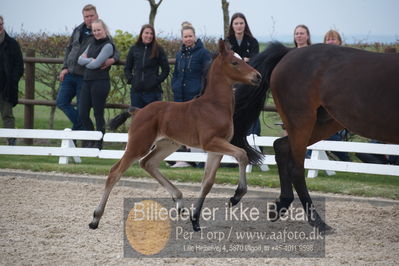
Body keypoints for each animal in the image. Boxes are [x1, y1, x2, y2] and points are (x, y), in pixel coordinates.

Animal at [88, 39, 260, 231]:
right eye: (235, 62)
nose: (258, 76)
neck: (214, 105)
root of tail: (138, 111)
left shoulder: (216, 149)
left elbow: (207, 182)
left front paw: (195, 220)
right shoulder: (211, 143)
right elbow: (242, 154)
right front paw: (235, 197)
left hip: (168, 144)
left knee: (148, 163)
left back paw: (179, 202)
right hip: (139, 144)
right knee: (115, 171)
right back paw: (95, 218)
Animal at [233, 42, 399, 231]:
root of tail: (290, 52)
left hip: (326, 121)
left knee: (281, 146)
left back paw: (281, 206)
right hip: (302, 120)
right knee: (296, 168)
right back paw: (318, 222)